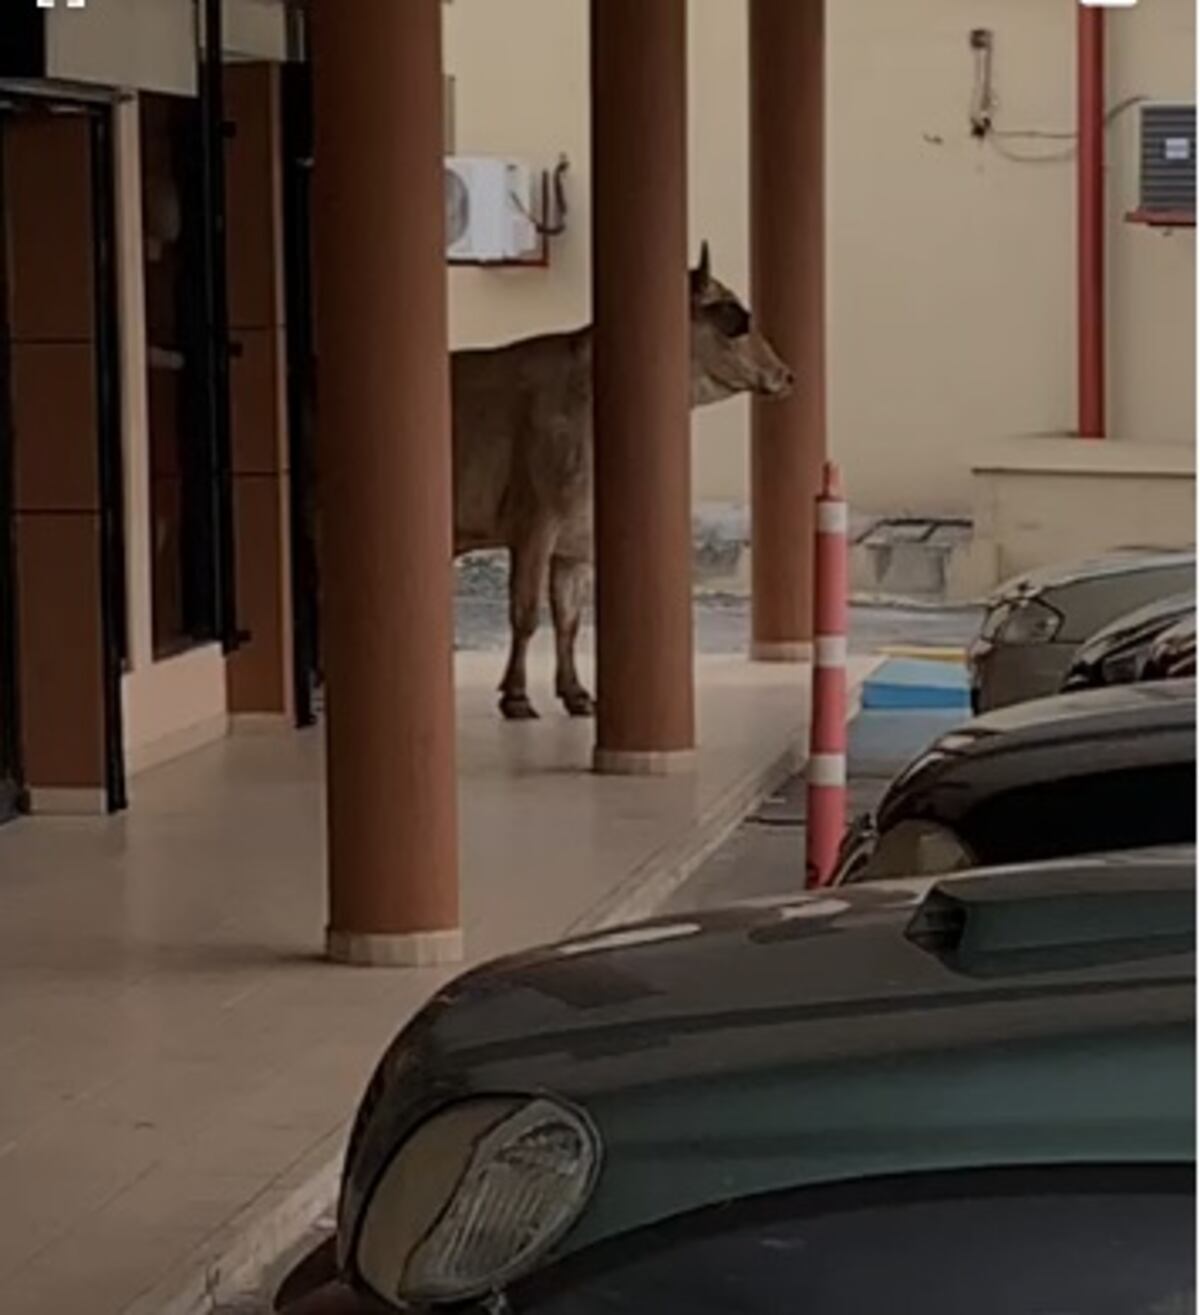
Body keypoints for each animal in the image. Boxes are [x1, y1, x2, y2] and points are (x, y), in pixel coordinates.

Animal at [454, 244, 793, 720]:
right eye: (736, 317)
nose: (786, 374)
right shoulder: (536, 521)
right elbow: (526, 612)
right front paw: (516, 695)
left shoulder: (577, 539)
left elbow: (570, 619)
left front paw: (576, 693)